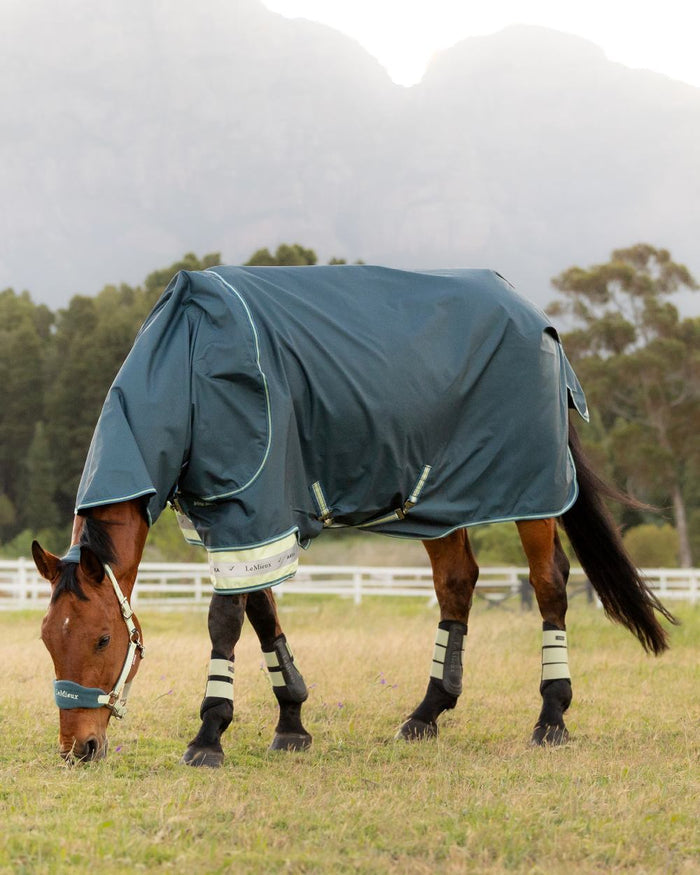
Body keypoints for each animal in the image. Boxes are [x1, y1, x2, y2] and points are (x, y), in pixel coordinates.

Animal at [32, 265, 676, 764]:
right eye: (46, 638)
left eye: (102, 639)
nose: (79, 749)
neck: (190, 362)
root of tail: (537, 318)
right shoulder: (241, 520)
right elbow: (262, 612)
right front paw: (291, 723)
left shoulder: (251, 510)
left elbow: (225, 622)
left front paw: (209, 735)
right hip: (441, 500)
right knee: (457, 582)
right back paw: (427, 713)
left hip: (531, 494)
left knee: (549, 585)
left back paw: (551, 718)